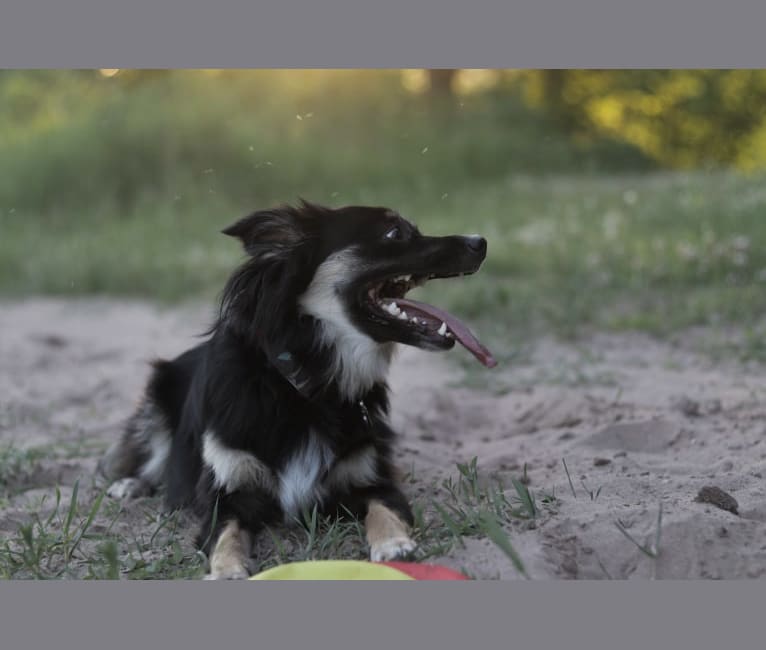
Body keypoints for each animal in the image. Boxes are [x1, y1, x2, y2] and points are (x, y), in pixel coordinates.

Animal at [99, 200, 496, 576]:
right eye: (394, 233)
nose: (481, 241)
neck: (307, 387)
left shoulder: (370, 480)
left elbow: (385, 509)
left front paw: (394, 544)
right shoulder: (226, 495)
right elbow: (226, 535)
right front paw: (227, 569)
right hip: (156, 401)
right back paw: (130, 485)